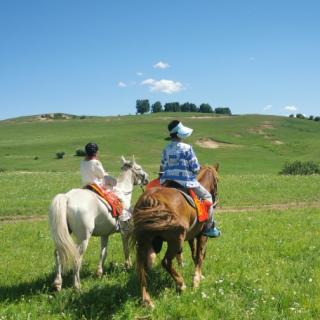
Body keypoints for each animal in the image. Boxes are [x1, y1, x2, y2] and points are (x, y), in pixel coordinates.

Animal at [48, 156, 148, 292]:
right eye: (139, 168)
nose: (147, 178)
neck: (123, 192)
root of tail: (67, 197)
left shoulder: (104, 234)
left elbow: (103, 252)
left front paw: (99, 272)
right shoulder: (125, 231)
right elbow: (126, 248)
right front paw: (128, 265)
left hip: (64, 235)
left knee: (58, 254)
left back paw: (57, 283)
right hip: (83, 238)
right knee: (77, 258)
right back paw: (77, 286)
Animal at [131, 165, 219, 308]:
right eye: (218, 179)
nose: (215, 198)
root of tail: (149, 199)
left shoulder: (191, 236)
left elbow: (194, 255)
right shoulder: (202, 235)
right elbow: (200, 256)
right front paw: (196, 281)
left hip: (148, 241)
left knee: (142, 267)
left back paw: (147, 300)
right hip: (175, 240)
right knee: (166, 262)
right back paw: (181, 284)